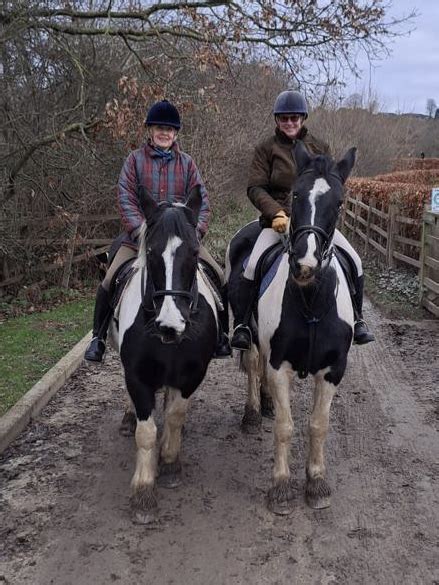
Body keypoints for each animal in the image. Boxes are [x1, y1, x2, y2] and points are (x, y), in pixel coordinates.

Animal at [110, 189, 220, 524]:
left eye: (194, 252)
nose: (170, 325)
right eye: (151, 251)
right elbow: (146, 431)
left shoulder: (193, 372)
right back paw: (128, 417)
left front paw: (170, 462)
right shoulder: (137, 376)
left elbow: (174, 415)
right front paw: (143, 491)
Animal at [227, 141, 358, 512]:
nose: (306, 265)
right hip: (251, 336)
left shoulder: (333, 370)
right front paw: (282, 488)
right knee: (253, 365)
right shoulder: (279, 364)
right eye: (296, 194)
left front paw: (316, 484)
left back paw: (267, 403)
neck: (310, 300)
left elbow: (318, 425)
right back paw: (254, 412)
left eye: (339, 202)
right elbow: (286, 427)